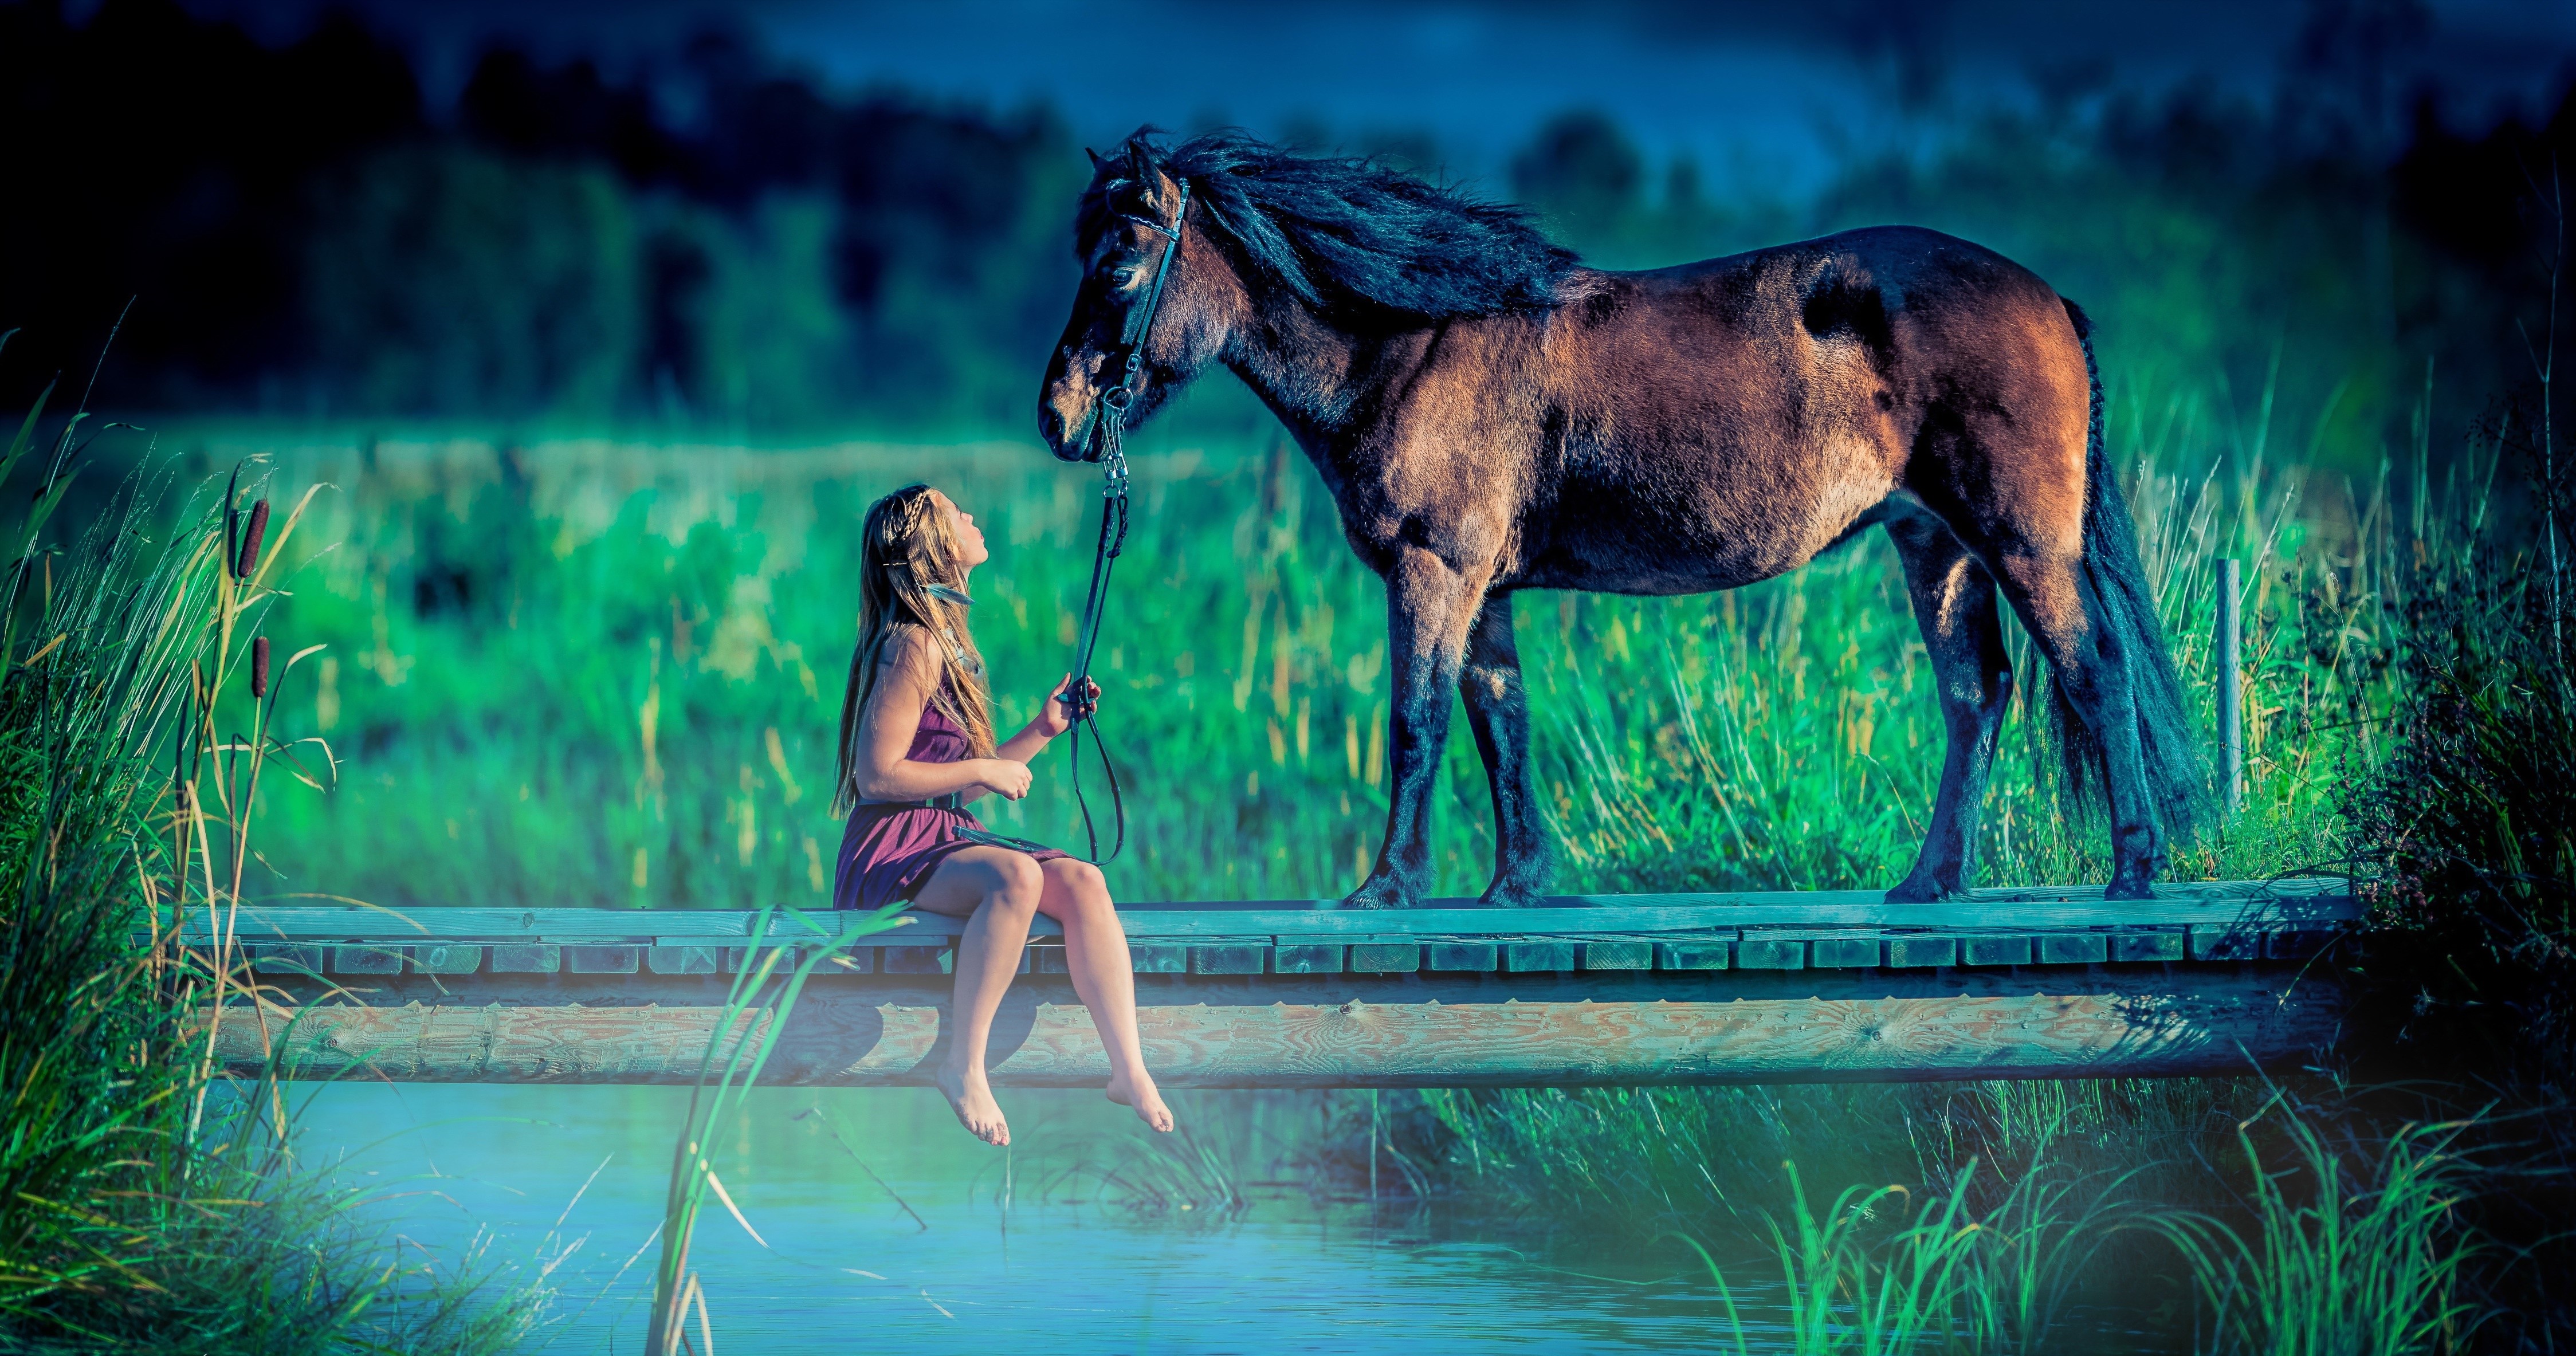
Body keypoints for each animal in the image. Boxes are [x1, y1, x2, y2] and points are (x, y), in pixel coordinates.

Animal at [1039, 132, 2204, 909]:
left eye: (1120, 265)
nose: (1057, 415)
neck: (1412, 347)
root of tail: (2049, 299)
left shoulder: (1433, 570)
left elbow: (1416, 724)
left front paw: (1387, 886)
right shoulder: (1482, 588)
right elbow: (1500, 722)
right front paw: (1517, 886)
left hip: (2020, 542)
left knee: (2094, 667)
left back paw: (2133, 868)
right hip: (1938, 546)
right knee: (1978, 695)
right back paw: (1928, 882)